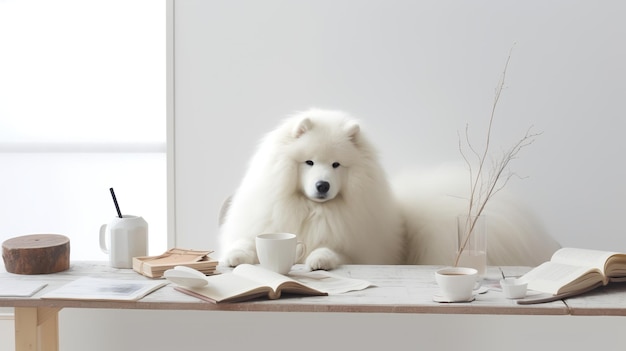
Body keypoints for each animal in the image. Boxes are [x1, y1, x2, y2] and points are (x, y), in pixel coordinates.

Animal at [218, 108, 404, 270]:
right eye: (309, 162)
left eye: (336, 164)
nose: (322, 185)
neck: (311, 208)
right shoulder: (261, 227)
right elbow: (247, 242)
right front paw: (234, 256)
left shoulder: (352, 252)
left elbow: (330, 250)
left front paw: (320, 260)